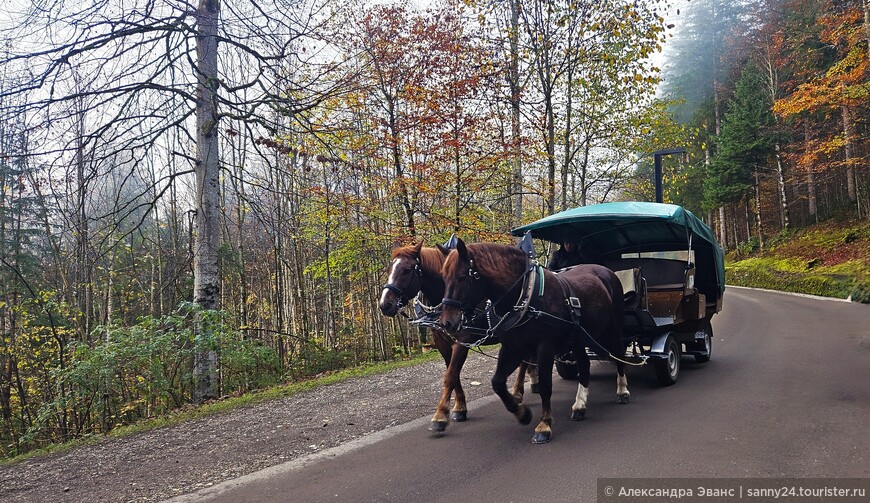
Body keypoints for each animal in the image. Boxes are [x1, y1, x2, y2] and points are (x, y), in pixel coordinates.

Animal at [378, 241, 536, 434]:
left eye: (407, 270)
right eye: (388, 269)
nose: (385, 305)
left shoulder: (462, 342)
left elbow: (451, 375)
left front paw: (440, 415)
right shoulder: (442, 343)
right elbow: (453, 374)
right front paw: (459, 407)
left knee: (524, 361)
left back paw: (518, 392)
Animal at [440, 238, 632, 442]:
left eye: (462, 277)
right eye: (443, 277)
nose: (446, 322)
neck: (525, 296)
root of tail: (606, 271)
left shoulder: (545, 347)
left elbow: (546, 385)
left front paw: (544, 425)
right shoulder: (513, 348)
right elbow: (497, 382)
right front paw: (522, 413)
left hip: (612, 329)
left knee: (619, 354)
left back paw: (622, 391)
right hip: (579, 338)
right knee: (584, 364)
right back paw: (579, 406)